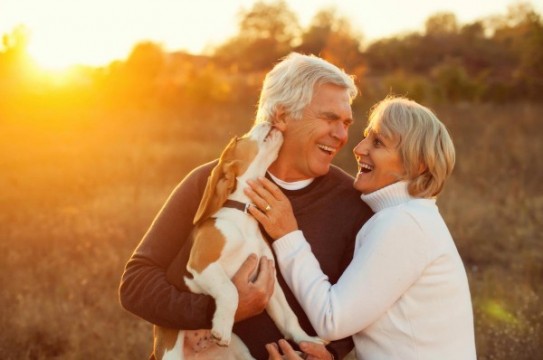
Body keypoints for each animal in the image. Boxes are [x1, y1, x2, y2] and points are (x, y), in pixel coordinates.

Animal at [154, 121, 324, 360]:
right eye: (238, 139)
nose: (269, 120)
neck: (242, 215)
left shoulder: (268, 277)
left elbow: (289, 316)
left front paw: (306, 340)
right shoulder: (201, 264)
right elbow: (230, 290)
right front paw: (222, 328)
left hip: (241, 351)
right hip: (172, 352)